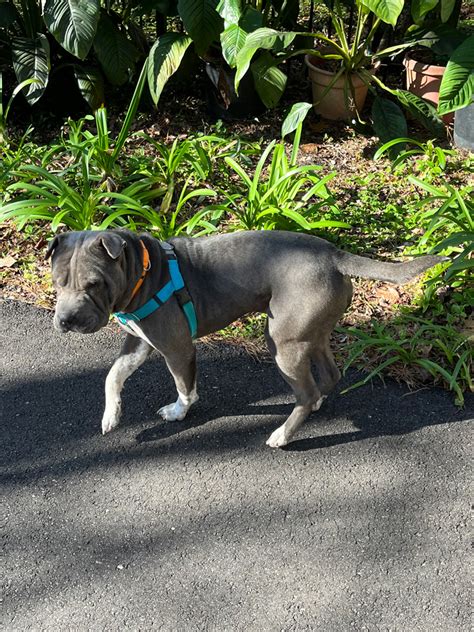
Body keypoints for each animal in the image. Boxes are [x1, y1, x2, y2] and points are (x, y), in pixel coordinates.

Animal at [46, 230, 442, 446]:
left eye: (93, 284)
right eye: (57, 281)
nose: (66, 320)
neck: (144, 272)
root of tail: (334, 254)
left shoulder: (176, 347)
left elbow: (184, 387)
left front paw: (178, 412)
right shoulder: (137, 342)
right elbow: (112, 376)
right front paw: (111, 416)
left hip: (282, 342)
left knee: (306, 390)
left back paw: (283, 435)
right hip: (310, 332)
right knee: (328, 376)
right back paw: (314, 406)